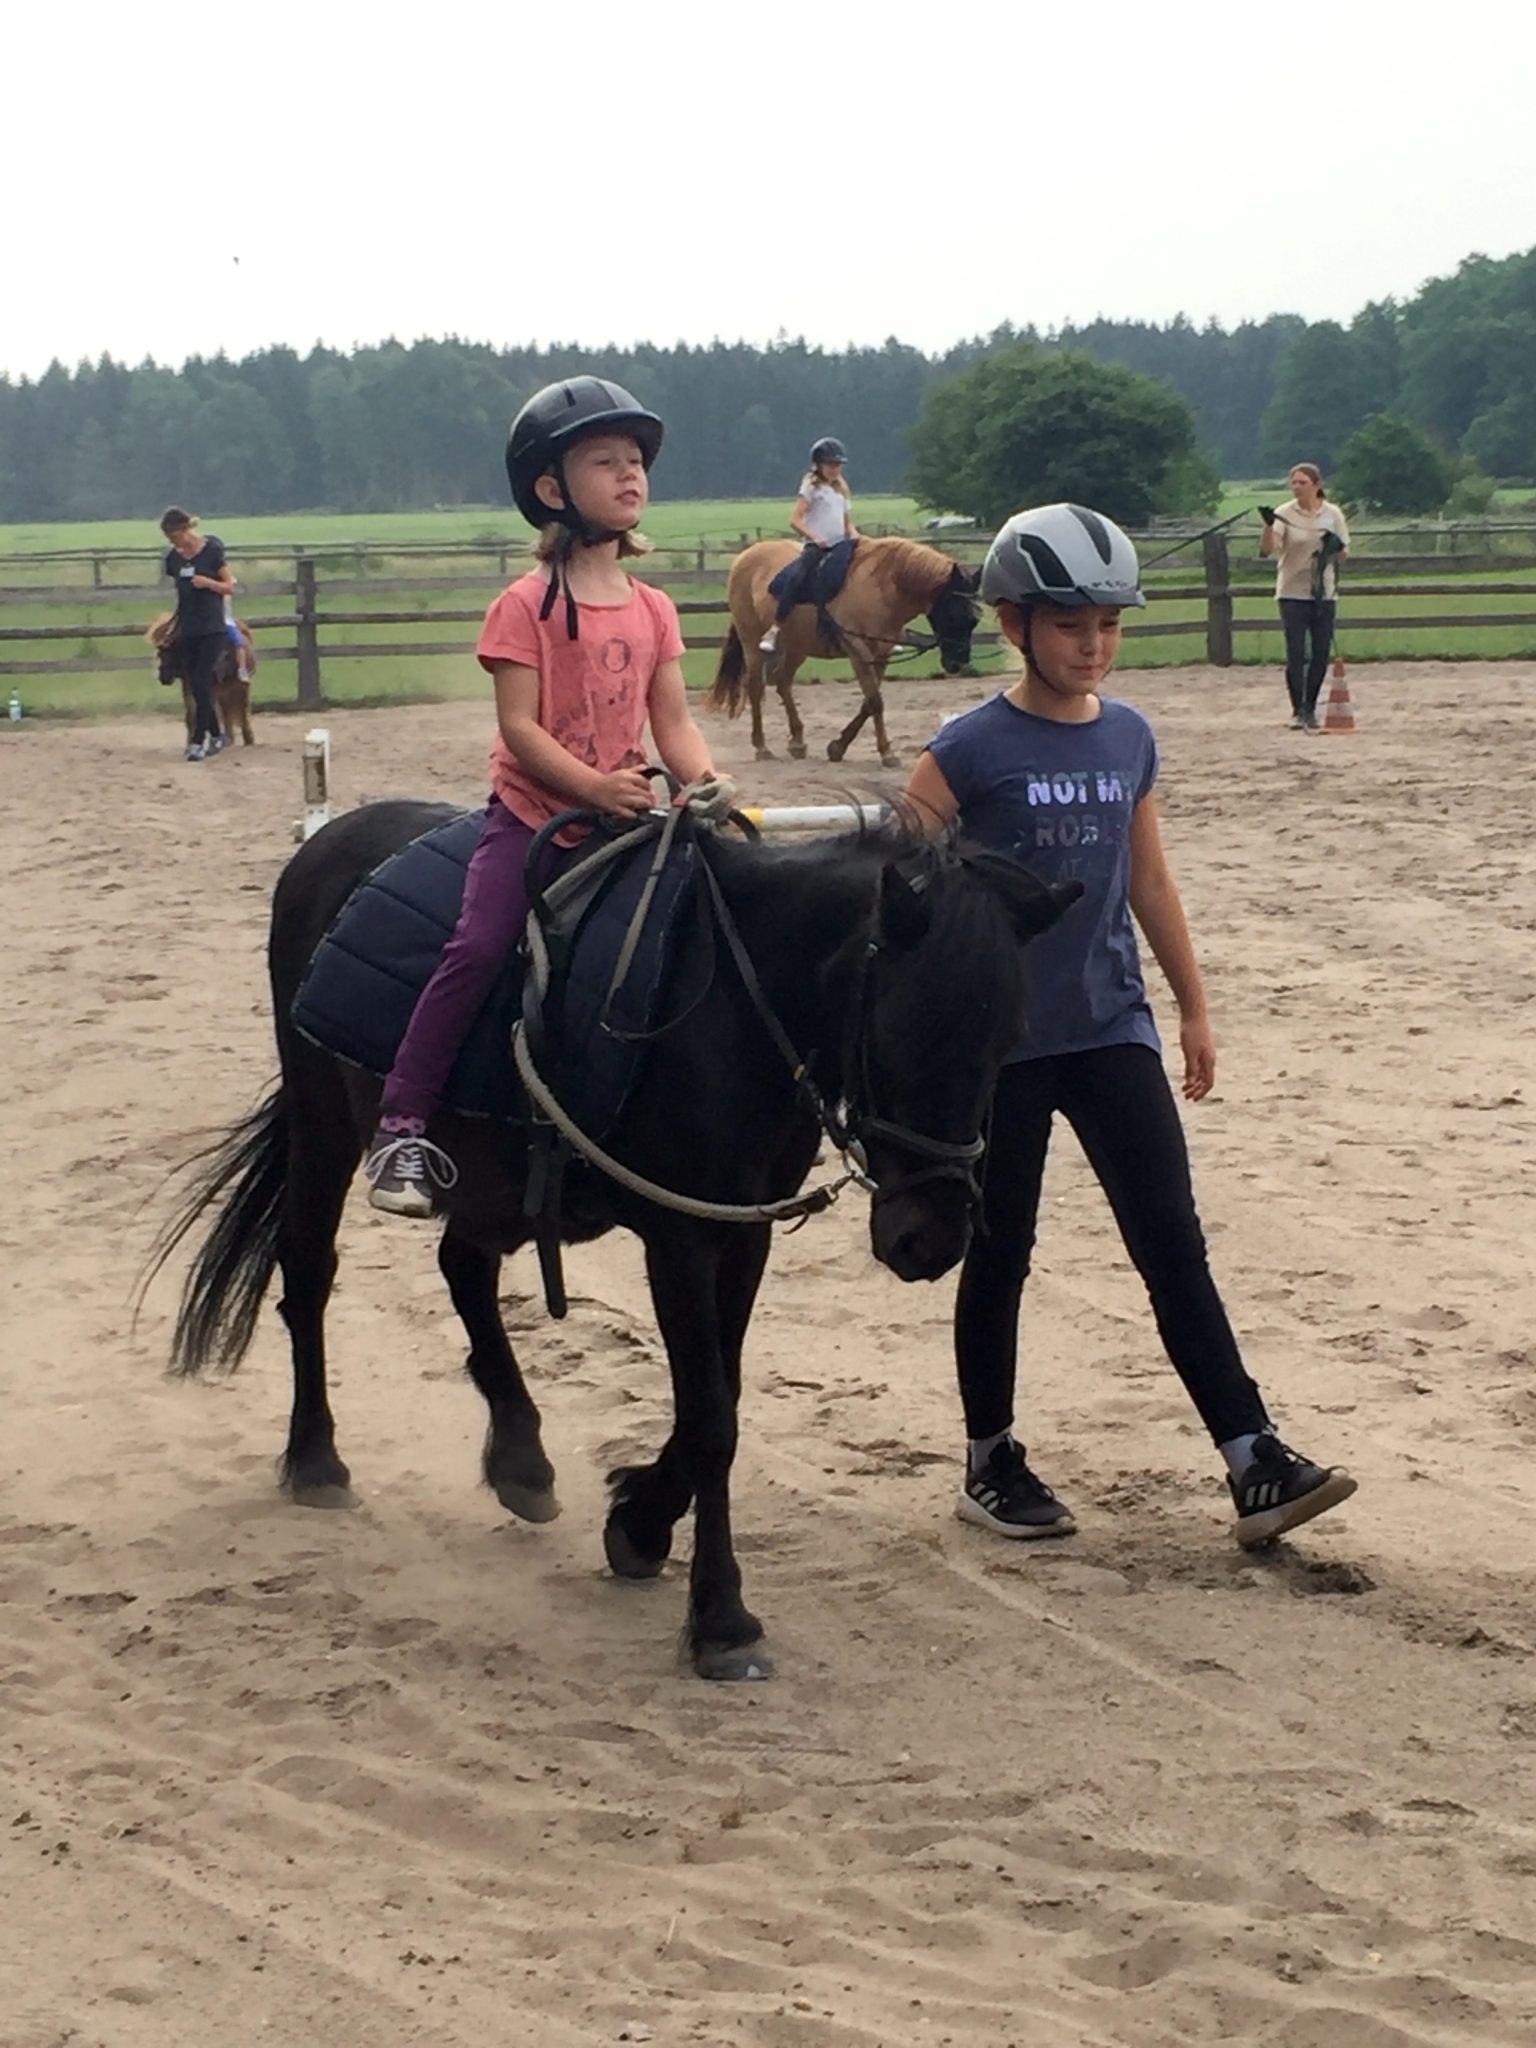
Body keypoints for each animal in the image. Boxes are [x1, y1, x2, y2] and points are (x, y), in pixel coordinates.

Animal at [147, 610, 259, 749]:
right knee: (226, 712)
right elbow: (192, 715)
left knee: (236, 710)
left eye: (164, 653)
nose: (163, 677)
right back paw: (228, 739)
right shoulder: (190, 687)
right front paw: (191, 742)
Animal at [153, 798, 1073, 1679]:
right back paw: (317, 1461)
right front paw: (720, 1620)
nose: (932, 1239)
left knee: (463, 1268)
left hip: (486, 1174)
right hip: (324, 1122)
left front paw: (639, 1522)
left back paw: (521, 1460)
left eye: (1007, 1038)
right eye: (903, 1030)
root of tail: (329, 841)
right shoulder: (681, 1239)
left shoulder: (743, 1232)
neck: (732, 1010)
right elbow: (711, 1419)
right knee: (308, 1270)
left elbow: (722, 1397)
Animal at [708, 536, 987, 770]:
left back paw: (797, 742)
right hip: (752, 642)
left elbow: (869, 702)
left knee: (783, 682)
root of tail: (746, 555)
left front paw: (838, 747)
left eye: (975, 619)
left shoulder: (881, 655)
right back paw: (762, 747)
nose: (957, 663)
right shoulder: (858, 650)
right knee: (756, 687)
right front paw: (886, 753)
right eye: (954, 613)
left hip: (797, 646)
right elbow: (875, 701)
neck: (883, 587)